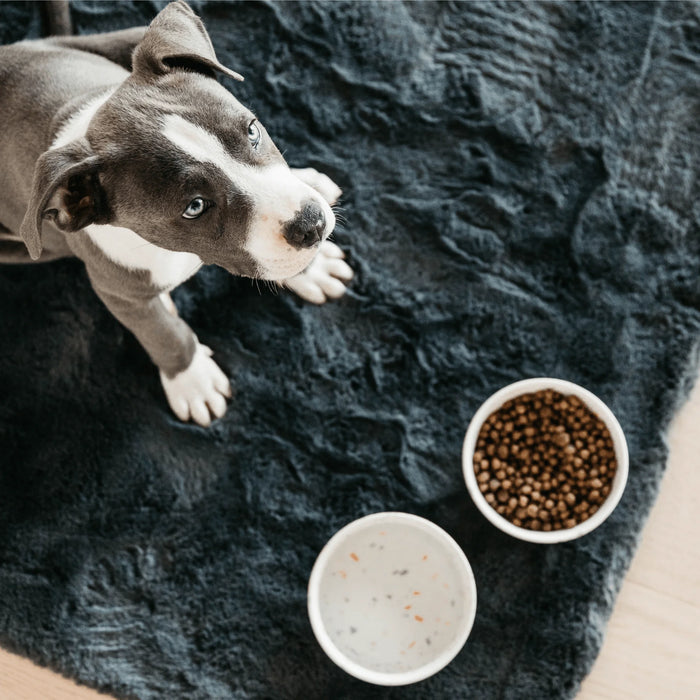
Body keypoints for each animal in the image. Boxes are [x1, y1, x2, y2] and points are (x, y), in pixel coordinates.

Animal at [0, 0, 350, 426]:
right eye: (194, 207)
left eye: (253, 131)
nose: (311, 225)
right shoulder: (117, 291)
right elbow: (163, 333)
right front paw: (193, 380)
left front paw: (312, 268)